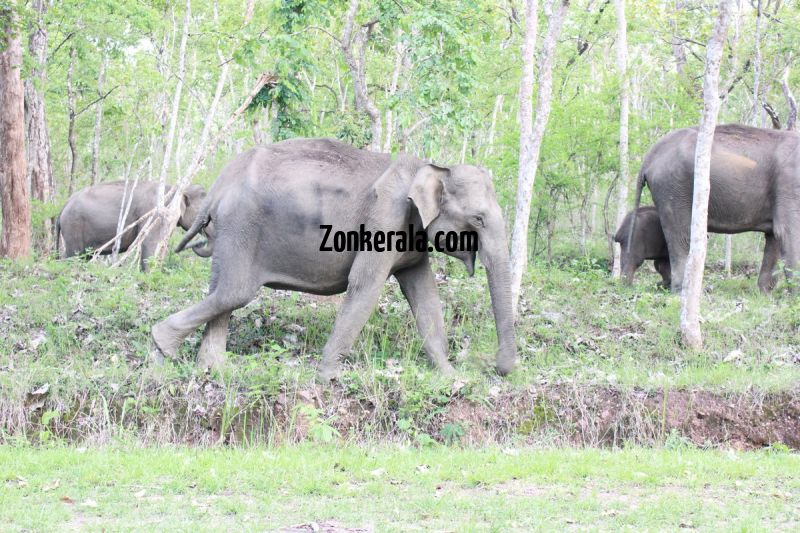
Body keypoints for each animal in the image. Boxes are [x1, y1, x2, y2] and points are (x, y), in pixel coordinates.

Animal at [153, 137, 520, 378]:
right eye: (478, 219)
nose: (497, 370)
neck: (431, 167)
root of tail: (220, 182)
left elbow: (424, 294)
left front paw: (450, 378)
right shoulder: (386, 218)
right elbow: (365, 286)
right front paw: (328, 379)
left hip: (230, 234)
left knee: (222, 291)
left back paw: (211, 368)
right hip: (242, 227)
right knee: (235, 292)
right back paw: (162, 346)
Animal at [632, 124, 800, 290]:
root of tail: (648, 158)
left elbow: (774, 237)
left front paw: (763, 293)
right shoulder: (789, 185)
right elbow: (786, 232)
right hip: (673, 188)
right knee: (683, 238)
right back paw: (684, 290)